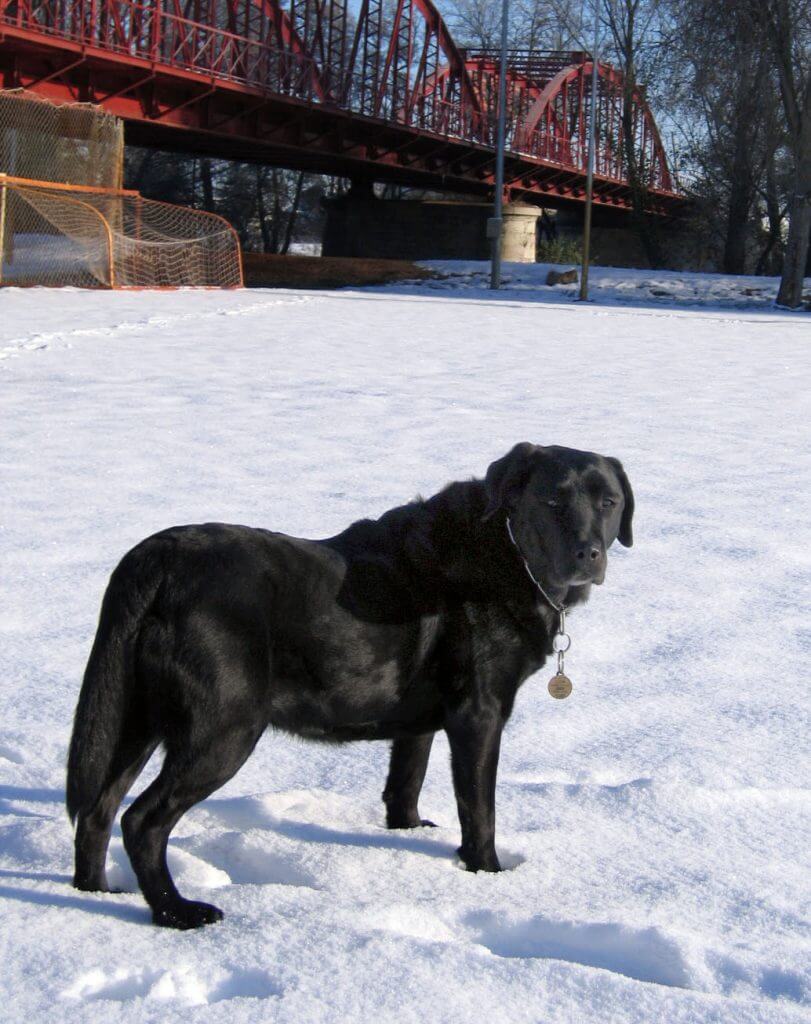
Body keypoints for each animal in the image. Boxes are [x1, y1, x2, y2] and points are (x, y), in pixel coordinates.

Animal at [66, 442, 634, 929]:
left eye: (608, 503)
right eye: (552, 499)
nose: (588, 554)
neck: (508, 551)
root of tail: (155, 559)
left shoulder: (419, 720)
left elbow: (405, 784)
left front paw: (408, 835)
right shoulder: (479, 714)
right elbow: (479, 811)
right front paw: (487, 874)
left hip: (134, 717)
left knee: (95, 811)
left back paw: (95, 895)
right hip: (223, 728)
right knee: (141, 821)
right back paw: (177, 913)